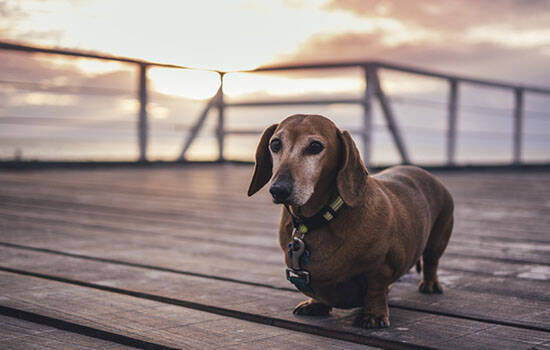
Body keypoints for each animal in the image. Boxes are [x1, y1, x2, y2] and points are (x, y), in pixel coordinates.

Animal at [248, 115, 454, 328]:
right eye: (275, 144)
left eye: (315, 146)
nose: (278, 190)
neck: (317, 220)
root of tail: (426, 173)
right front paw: (315, 304)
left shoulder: (381, 266)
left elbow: (376, 289)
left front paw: (374, 315)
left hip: (438, 238)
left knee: (431, 261)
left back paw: (430, 284)